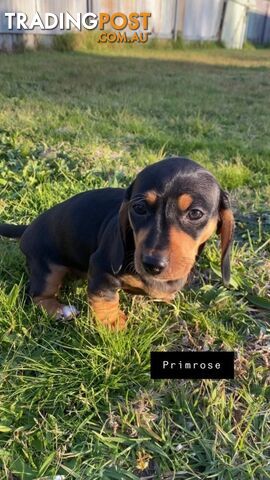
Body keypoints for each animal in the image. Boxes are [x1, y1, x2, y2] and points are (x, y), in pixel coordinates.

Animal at [0, 158, 234, 330]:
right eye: (139, 208)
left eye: (195, 213)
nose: (152, 265)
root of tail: (28, 229)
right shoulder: (101, 267)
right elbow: (105, 297)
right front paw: (113, 324)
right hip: (47, 267)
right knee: (38, 296)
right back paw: (61, 311)